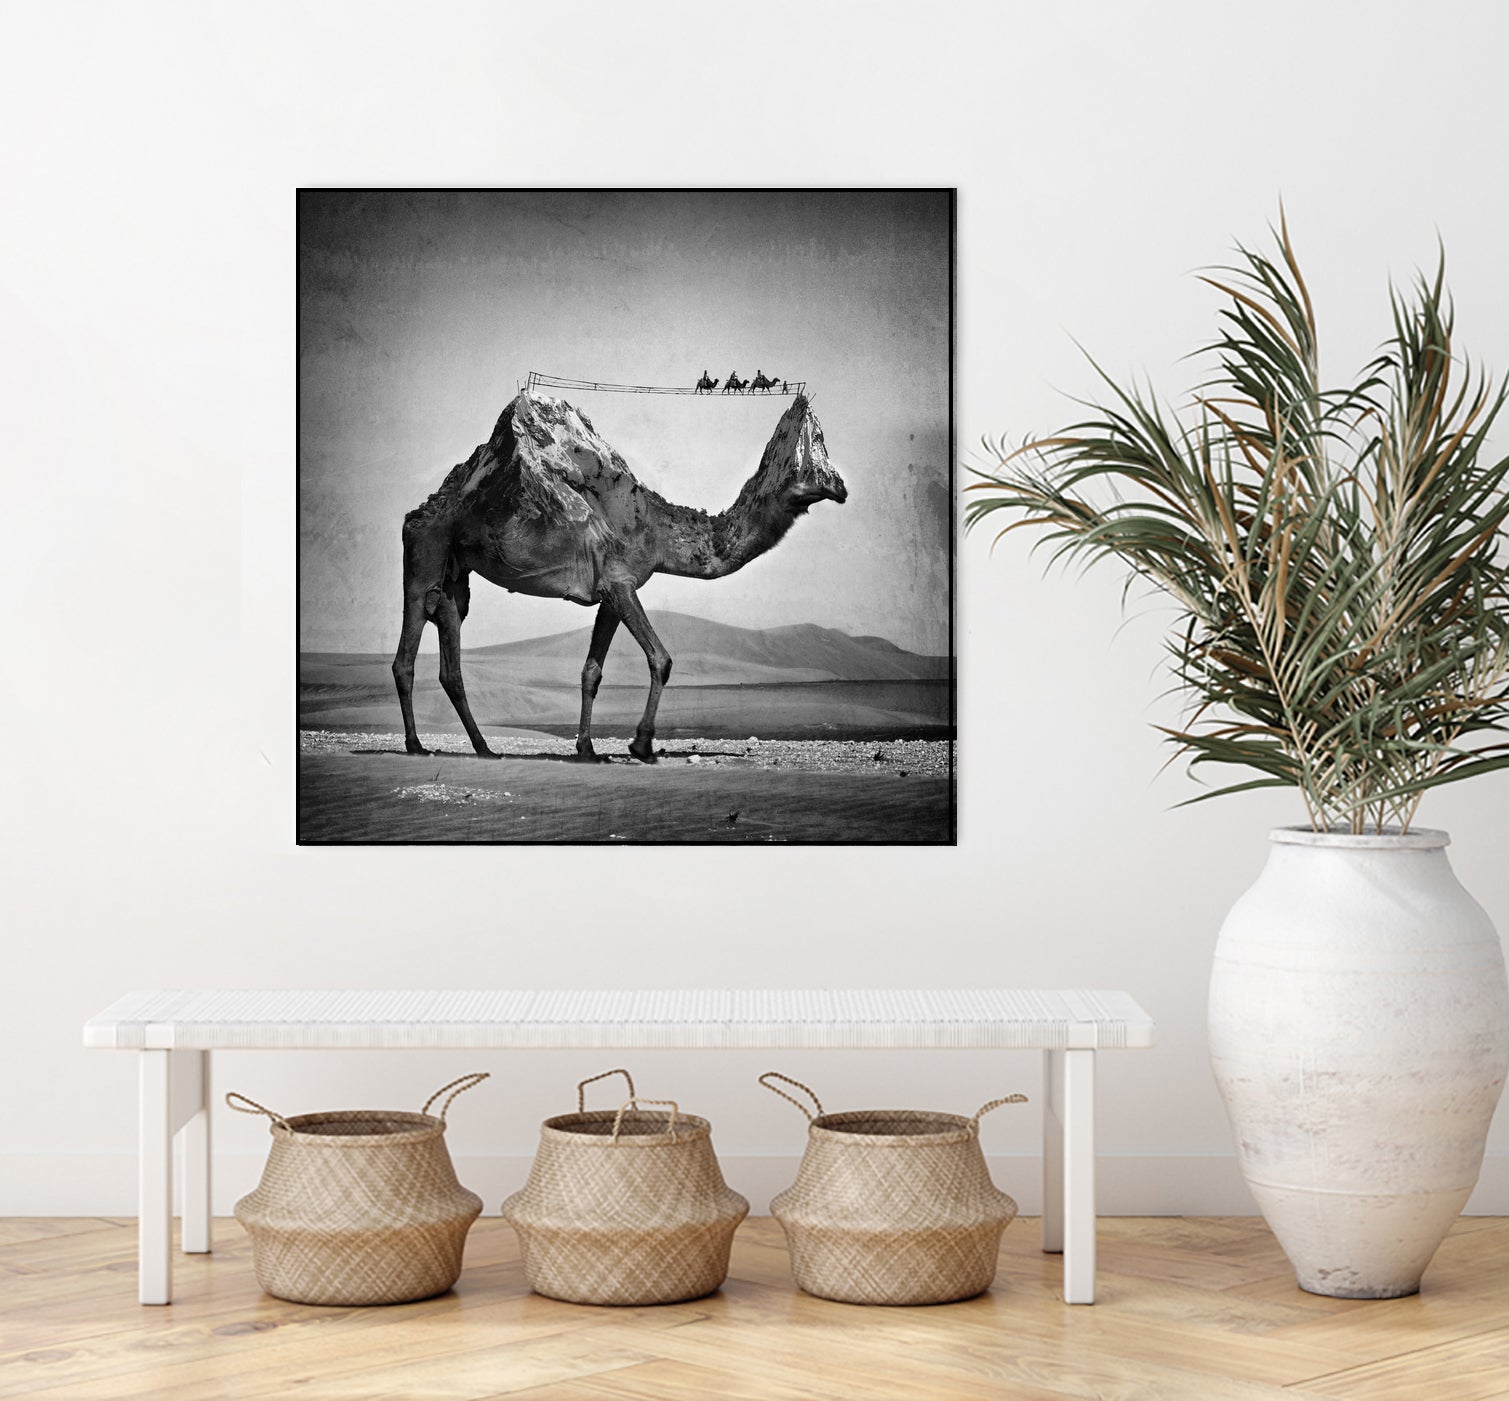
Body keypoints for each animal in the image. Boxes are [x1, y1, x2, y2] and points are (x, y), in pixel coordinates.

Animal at [393, 392, 848, 763]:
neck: (654, 529)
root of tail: (416, 513)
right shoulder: (620, 583)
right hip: (424, 556)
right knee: (406, 656)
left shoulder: (610, 594)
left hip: (455, 576)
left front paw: (588, 748)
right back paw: (417, 745)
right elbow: (661, 658)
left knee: (450, 658)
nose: (843, 487)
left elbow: (591, 672)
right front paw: (641, 744)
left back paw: (484, 747)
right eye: (816, 453)